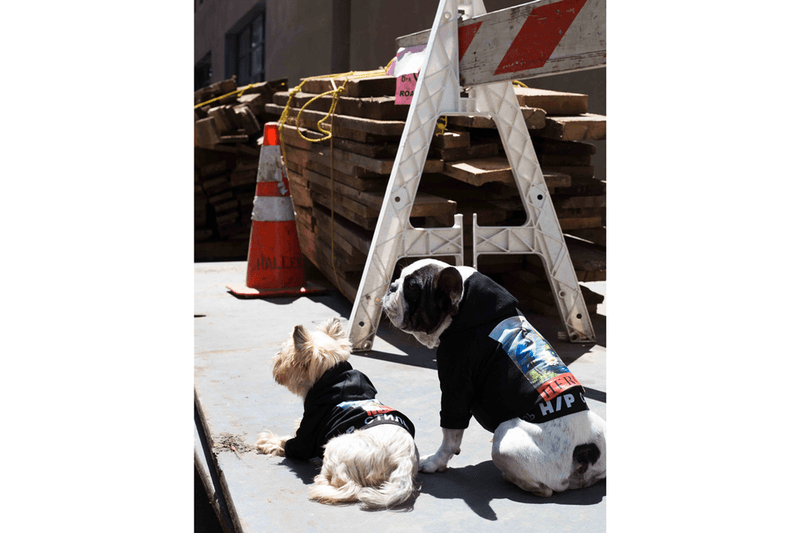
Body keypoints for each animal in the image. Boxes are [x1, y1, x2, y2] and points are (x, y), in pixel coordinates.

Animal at [256, 318, 422, 510]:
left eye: (283, 353)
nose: (275, 358)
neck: (333, 376)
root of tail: (403, 461)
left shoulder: (308, 432)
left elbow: (289, 443)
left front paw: (268, 441)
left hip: (334, 446)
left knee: (349, 487)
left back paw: (322, 482)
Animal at [382, 260, 608, 496]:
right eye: (400, 279)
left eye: (411, 288)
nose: (392, 286)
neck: (462, 306)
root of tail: (585, 451)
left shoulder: (456, 383)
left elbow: (450, 435)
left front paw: (435, 463)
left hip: (504, 437)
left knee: (544, 490)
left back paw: (513, 478)